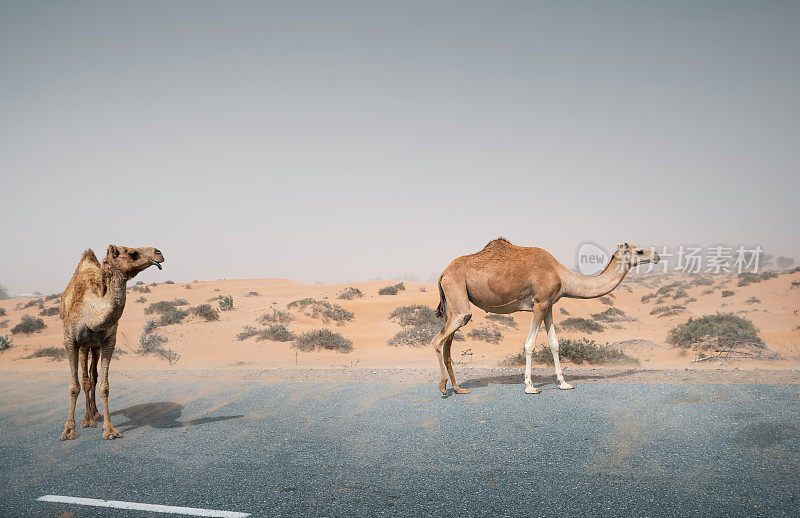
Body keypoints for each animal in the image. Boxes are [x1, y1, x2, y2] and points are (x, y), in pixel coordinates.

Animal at [58, 246, 164, 440]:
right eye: (132, 253)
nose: (158, 253)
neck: (90, 313)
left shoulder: (108, 342)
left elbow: (104, 387)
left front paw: (110, 430)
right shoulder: (70, 341)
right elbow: (74, 387)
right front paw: (69, 430)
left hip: (94, 346)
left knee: (92, 376)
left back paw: (95, 415)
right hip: (83, 346)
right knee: (85, 378)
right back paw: (87, 420)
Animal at [434, 239, 660, 394]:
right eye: (639, 251)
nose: (657, 255)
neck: (561, 275)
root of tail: (443, 273)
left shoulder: (550, 305)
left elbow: (554, 343)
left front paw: (564, 383)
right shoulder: (540, 302)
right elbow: (530, 344)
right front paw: (530, 386)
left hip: (454, 305)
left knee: (447, 345)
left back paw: (458, 389)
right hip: (459, 297)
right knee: (439, 340)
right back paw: (443, 387)